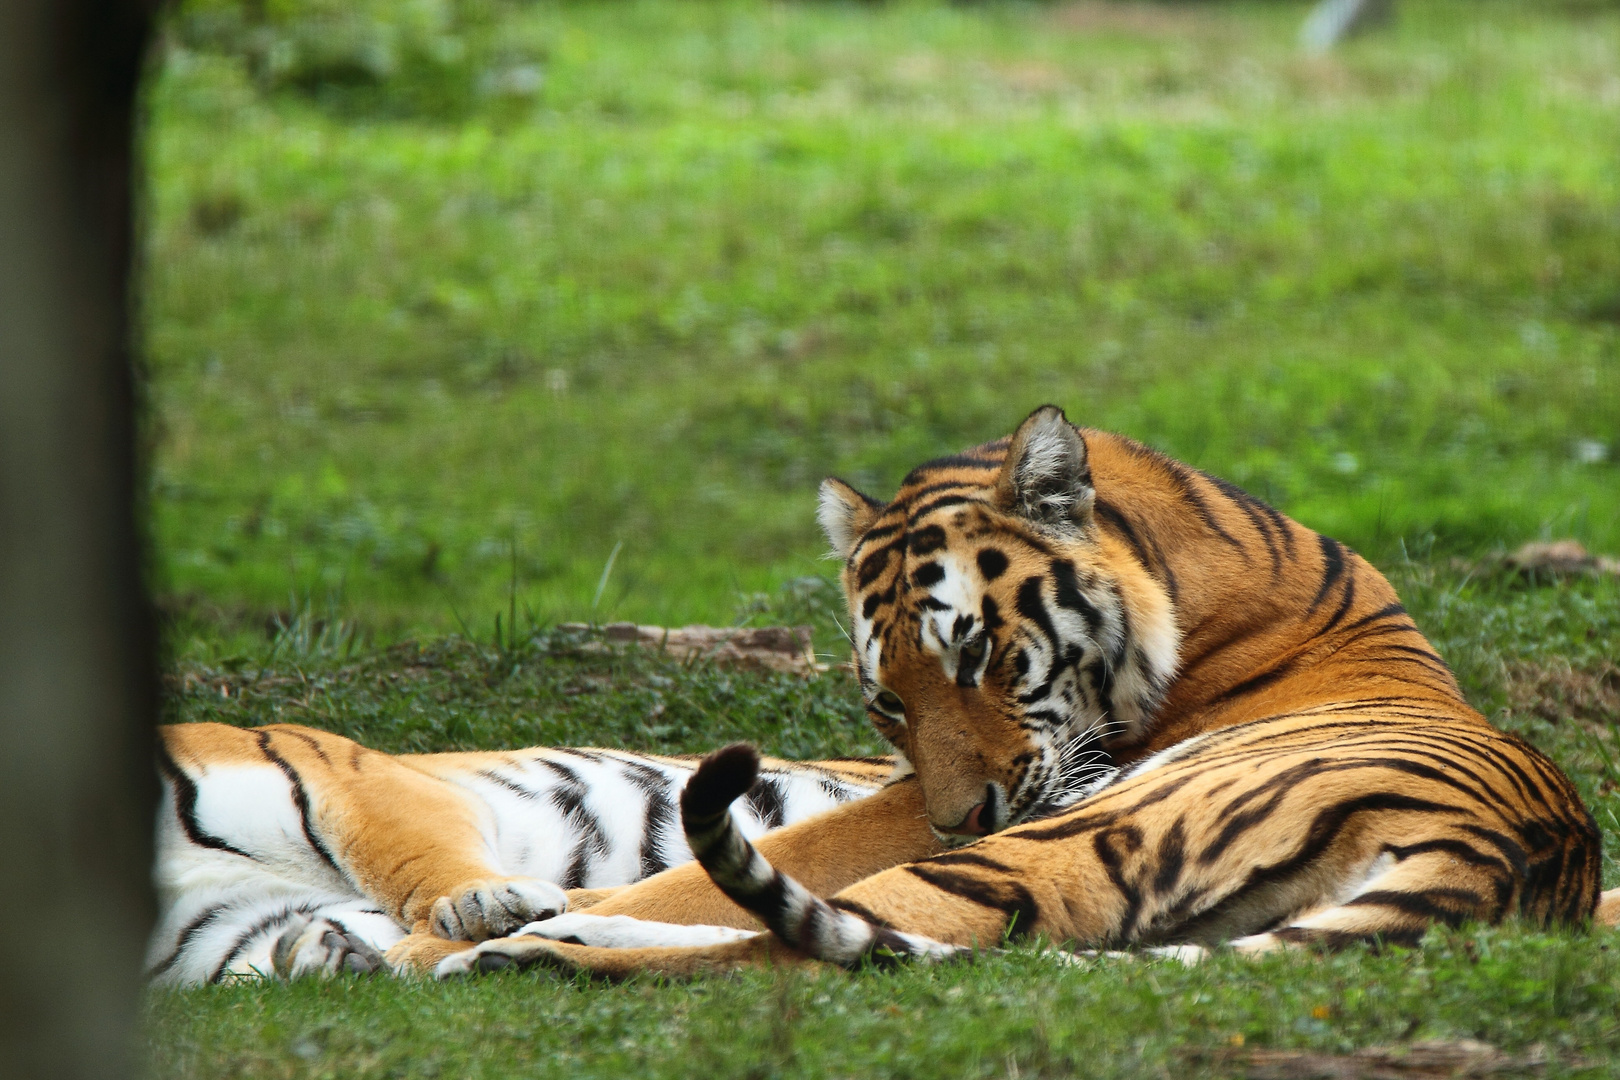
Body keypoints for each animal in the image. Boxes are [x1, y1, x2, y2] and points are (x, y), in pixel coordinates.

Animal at [147, 725, 894, 990]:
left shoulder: (337, 774)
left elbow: (410, 855)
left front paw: (484, 903)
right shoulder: (224, 929)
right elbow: (270, 949)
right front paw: (326, 954)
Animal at [430, 404, 1620, 977]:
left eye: (983, 660)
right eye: (888, 703)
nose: (962, 818)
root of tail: (1508, 853)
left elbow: (722, 875)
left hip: (1079, 832)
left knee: (818, 944)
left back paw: (521, 950)